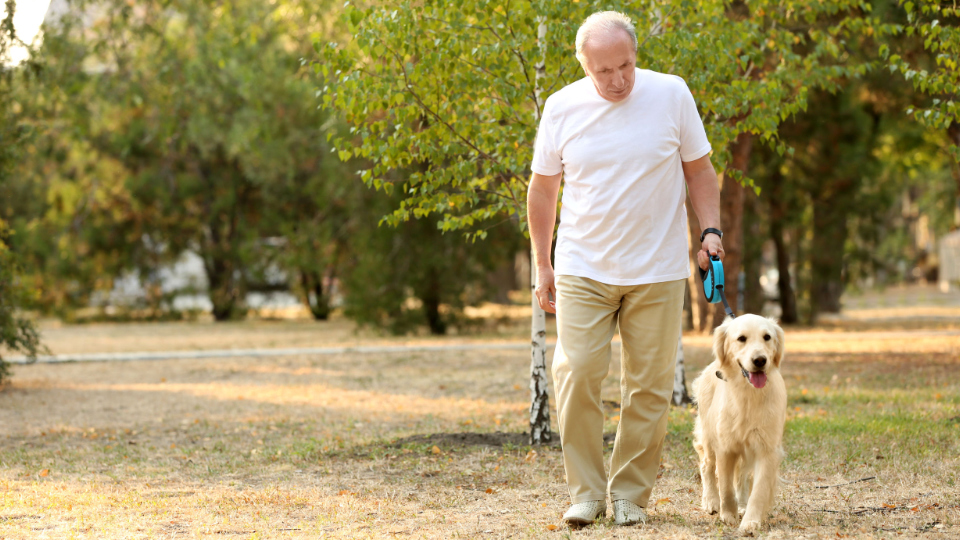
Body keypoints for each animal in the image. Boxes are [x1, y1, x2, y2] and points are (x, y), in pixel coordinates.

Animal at [692, 314, 784, 532]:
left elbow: (758, 490)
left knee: (741, 476)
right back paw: (711, 501)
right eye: (741, 338)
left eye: (767, 337)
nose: (760, 360)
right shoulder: (725, 447)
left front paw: (750, 521)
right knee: (707, 466)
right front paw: (728, 515)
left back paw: (742, 505)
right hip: (709, 436)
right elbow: (725, 486)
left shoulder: (767, 449)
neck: (749, 394)